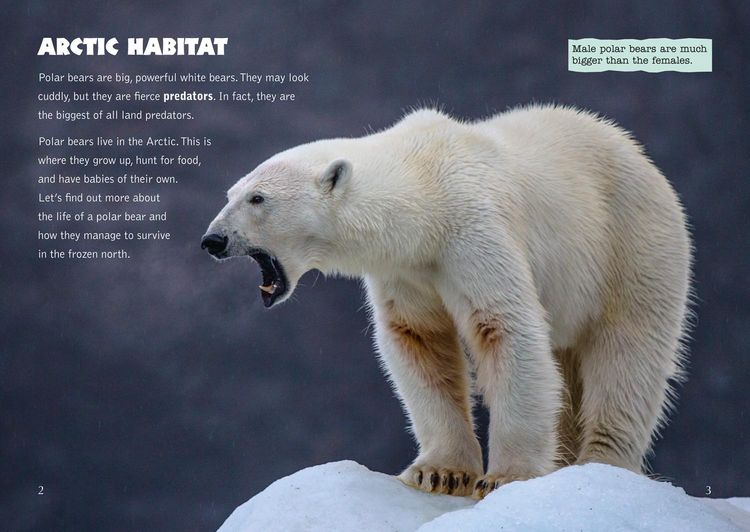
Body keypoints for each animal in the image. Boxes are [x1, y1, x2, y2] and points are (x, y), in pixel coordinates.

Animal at [202, 105, 692, 499]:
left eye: (257, 198)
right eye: (230, 194)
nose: (213, 239)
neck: (425, 194)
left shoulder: (474, 233)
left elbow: (504, 330)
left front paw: (505, 478)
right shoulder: (408, 270)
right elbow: (419, 340)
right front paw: (440, 473)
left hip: (632, 245)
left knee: (627, 353)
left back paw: (602, 461)